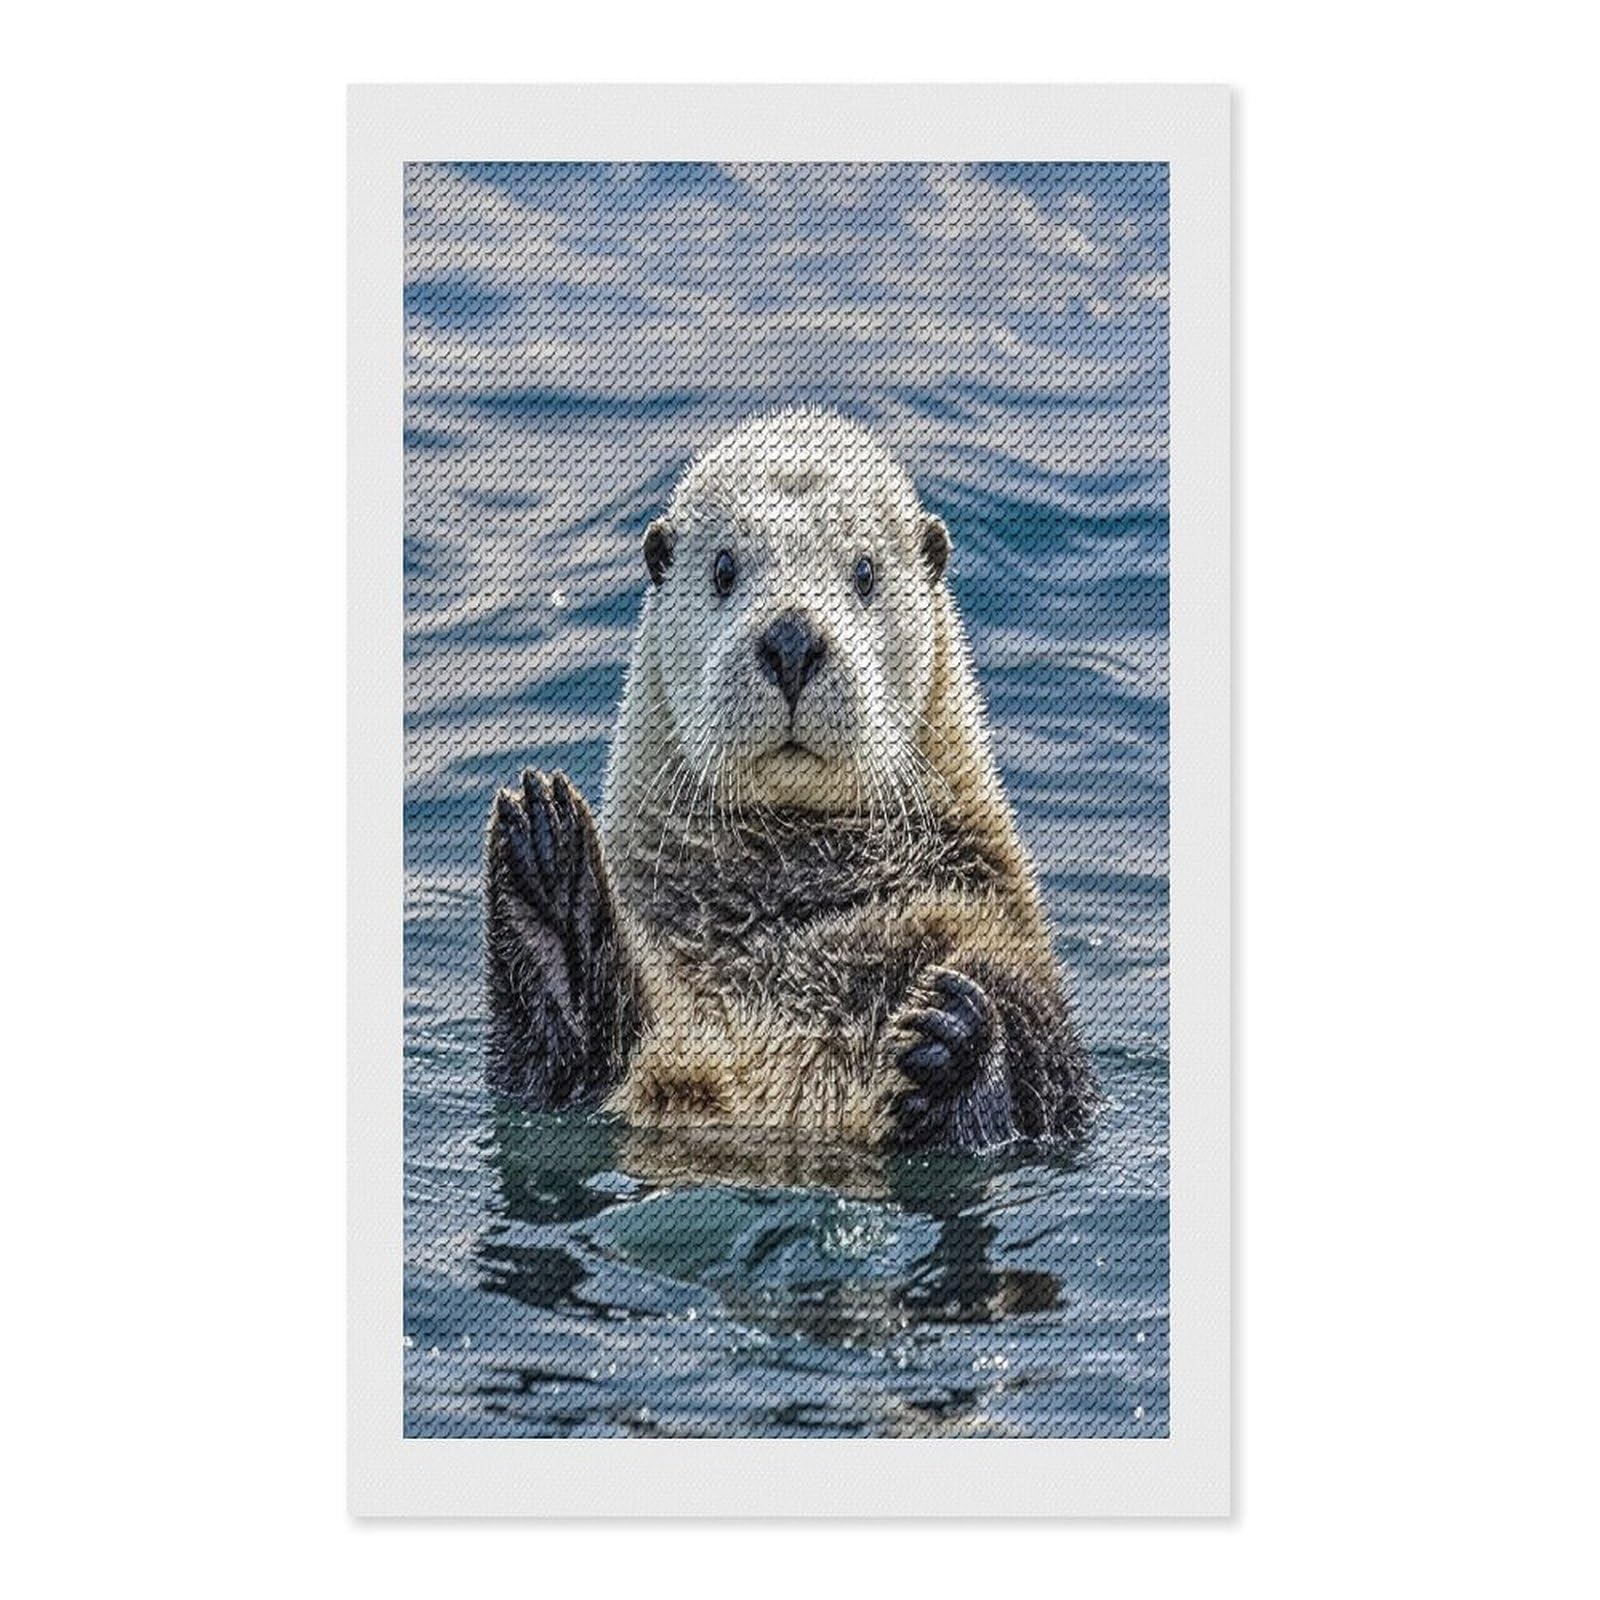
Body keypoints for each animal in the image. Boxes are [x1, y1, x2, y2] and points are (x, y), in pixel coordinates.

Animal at [484, 409, 1091, 1151]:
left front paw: (957, 1037)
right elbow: (554, 1068)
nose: (792, 639)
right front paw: (545, 862)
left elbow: (1049, 1065)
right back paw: (551, 871)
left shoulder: (993, 916)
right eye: (723, 569)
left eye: (865, 572)